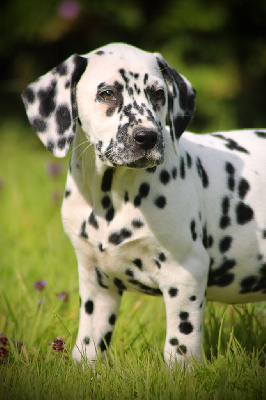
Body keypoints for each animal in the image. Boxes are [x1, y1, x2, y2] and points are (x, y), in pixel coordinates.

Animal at [22, 43, 266, 366]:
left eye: (158, 94)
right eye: (107, 93)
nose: (147, 137)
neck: (111, 198)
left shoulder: (186, 272)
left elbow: (180, 346)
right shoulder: (95, 282)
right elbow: (87, 346)